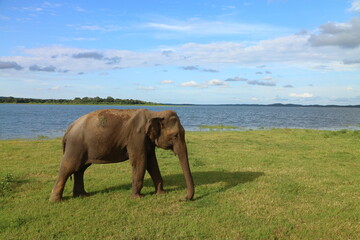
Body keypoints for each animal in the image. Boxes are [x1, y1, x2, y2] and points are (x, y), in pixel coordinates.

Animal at [50, 109, 194, 202]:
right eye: (175, 136)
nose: (181, 198)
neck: (155, 114)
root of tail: (69, 129)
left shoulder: (146, 140)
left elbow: (152, 161)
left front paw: (161, 193)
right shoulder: (136, 136)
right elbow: (140, 161)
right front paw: (137, 197)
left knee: (80, 169)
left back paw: (82, 196)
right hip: (76, 146)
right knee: (68, 167)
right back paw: (56, 200)